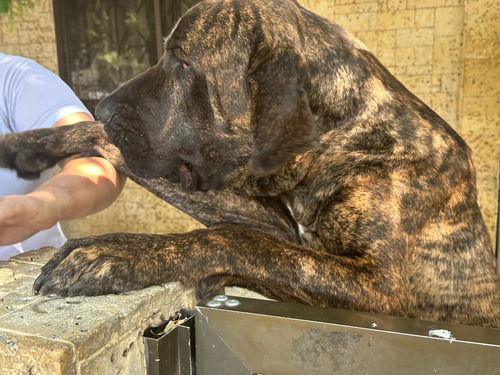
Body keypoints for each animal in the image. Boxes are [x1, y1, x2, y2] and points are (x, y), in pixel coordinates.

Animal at [0, 0, 500, 328]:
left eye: (184, 63)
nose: (101, 108)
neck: (335, 138)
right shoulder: (279, 229)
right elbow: (102, 141)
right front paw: (23, 147)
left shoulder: (377, 284)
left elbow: (228, 237)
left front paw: (113, 252)